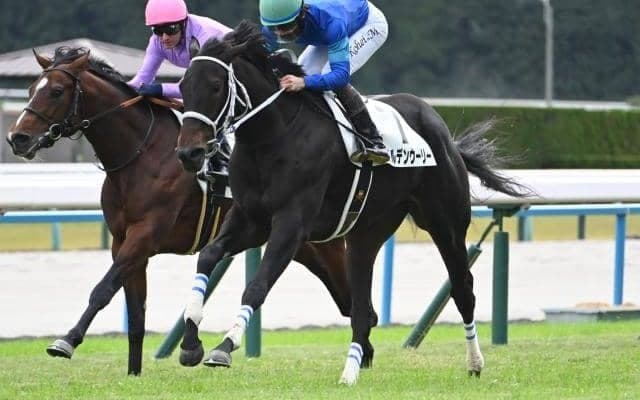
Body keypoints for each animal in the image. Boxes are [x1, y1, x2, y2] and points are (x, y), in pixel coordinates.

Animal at [5, 46, 363, 376]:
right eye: (31, 88)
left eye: (56, 91)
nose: (17, 138)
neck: (141, 153)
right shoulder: (123, 241)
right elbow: (136, 314)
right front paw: (134, 374)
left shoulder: (145, 235)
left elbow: (103, 289)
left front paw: (67, 340)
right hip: (305, 247)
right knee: (348, 301)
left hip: (313, 241)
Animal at [174, 21, 528, 385]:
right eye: (183, 85)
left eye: (216, 86)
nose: (189, 153)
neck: (273, 135)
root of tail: (443, 133)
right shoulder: (250, 220)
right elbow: (208, 256)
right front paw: (190, 343)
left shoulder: (291, 224)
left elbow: (257, 287)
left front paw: (224, 346)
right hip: (366, 234)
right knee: (361, 306)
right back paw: (352, 370)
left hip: (446, 224)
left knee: (462, 288)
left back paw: (474, 363)